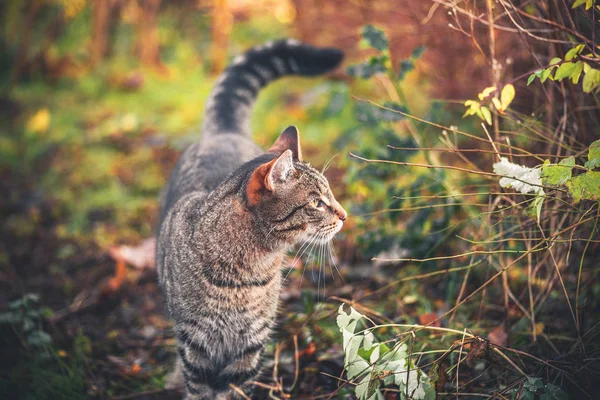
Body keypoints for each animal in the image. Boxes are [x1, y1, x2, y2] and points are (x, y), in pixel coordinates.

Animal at [157, 38, 346, 400]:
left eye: (330, 194)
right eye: (317, 202)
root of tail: (224, 131)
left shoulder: (250, 345)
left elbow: (234, 390)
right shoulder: (195, 344)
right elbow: (198, 388)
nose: (345, 215)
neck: (249, 272)